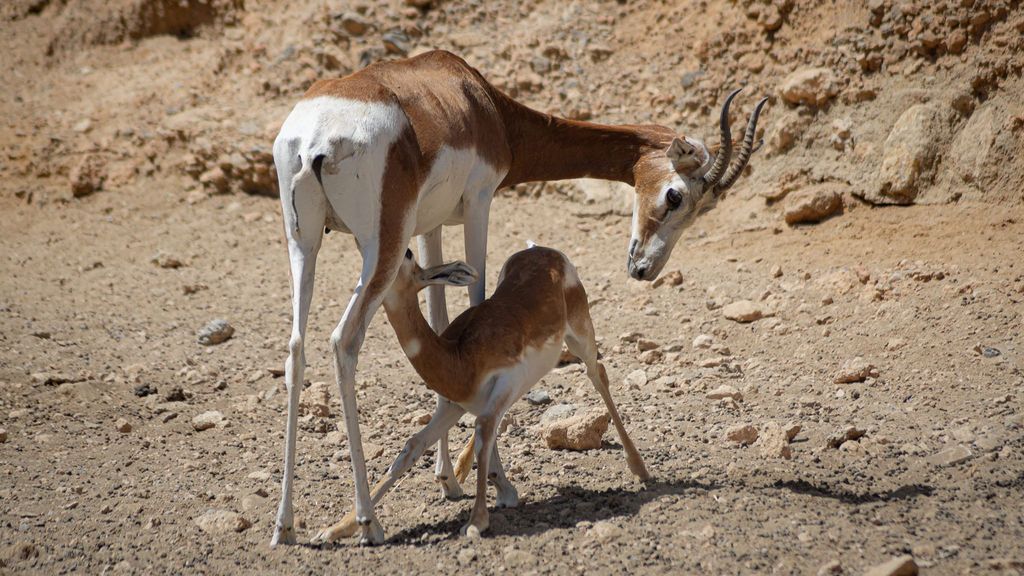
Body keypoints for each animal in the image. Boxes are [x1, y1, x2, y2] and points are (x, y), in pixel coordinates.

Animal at [311, 243, 647, 541]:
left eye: (406, 253)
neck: (458, 357)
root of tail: (544, 252)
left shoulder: (499, 387)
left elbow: (484, 431)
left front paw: (476, 522)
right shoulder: (453, 405)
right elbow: (411, 448)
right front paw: (338, 528)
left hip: (580, 336)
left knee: (597, 373)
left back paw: (639, 469)